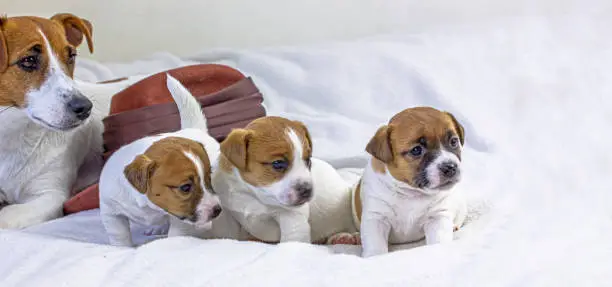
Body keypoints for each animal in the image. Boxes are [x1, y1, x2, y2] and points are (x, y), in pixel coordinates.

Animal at [99, 75, 224, 248]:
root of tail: (194, 129)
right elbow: (119, 235)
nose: (217, 210)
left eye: (208, 179)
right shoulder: (110, 211)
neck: (147, 205)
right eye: (185, 187)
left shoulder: (178, 218)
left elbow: (175, 235)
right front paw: (122, 248)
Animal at [206, 117, 358, 245]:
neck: (252, 195)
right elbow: (226, 235)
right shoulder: (227, 215)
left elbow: (291, 242)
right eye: (278, 164)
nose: (307, 190)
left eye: (308, 160)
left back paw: (346, 237)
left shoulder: (291, 218)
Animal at [356, 107, 466, 258]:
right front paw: (375, 257)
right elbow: (376, 246)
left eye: (453, 141)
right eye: (416, 150)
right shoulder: (376, 218)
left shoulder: (437, 217)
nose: (450, 167)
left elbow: (439, 241)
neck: (411, 192)